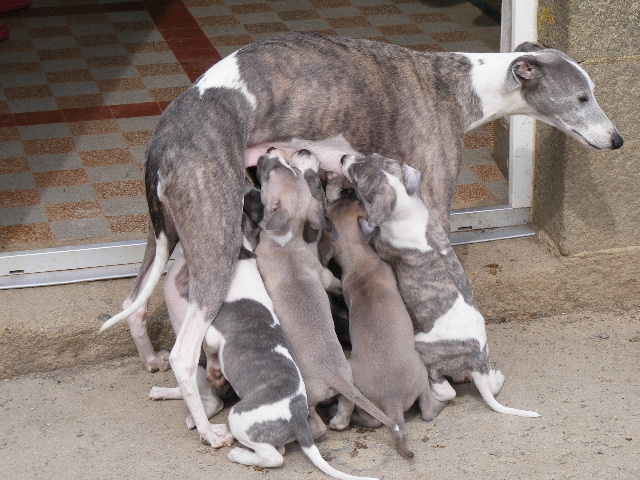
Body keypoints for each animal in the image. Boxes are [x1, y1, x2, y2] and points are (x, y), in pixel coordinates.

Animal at [254, 148, 400, 448]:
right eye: (290, 171)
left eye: (271, 173)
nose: (270, 150)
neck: (285, 240)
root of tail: (335, 375)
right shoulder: (322, 272)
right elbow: (332, 281)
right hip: (349, 383)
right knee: (346, 404)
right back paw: (340, 421)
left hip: (309, 395)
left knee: (316, 423)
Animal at [322, 191, 448, 458]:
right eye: (355, 202)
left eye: (338, 205)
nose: (349, 191)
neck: (357, 261)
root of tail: (393, 402)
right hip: (420, 372)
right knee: (427, 411)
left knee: (372, 420)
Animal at [340, 155, 540, 420]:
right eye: (368, 156)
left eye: (358, 173)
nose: (344, 157)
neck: (405, 201)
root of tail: (474, 361)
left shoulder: (383, 246)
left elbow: (373, 232)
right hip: (483, 362)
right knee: (491, 385)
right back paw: (495, 377)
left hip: (421, 346)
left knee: (446, 389)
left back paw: (434, 391)